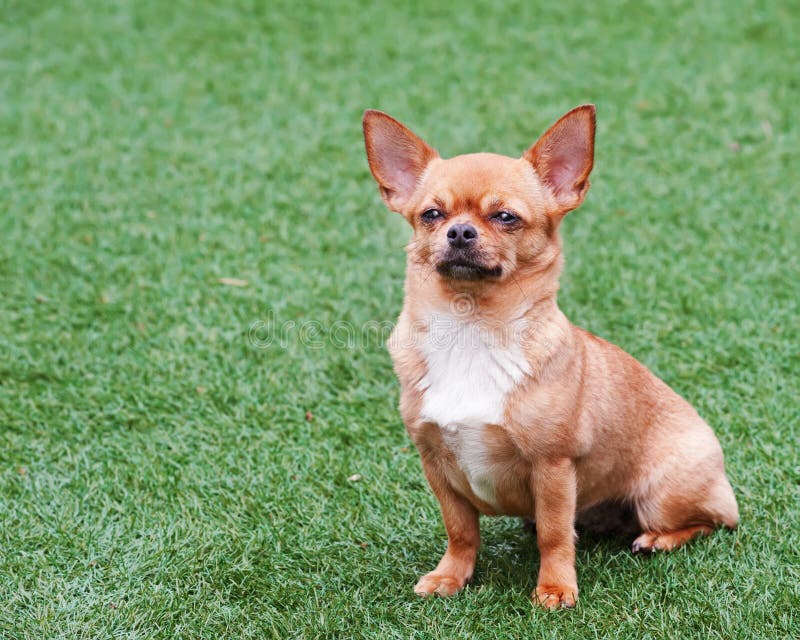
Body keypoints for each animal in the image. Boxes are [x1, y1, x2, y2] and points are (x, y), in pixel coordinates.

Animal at [362, 106, 736, 608]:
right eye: (431, 215)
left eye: (505, 217)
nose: (459, 231)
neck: (471, 327)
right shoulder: (435, 463)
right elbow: (460, 530)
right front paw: (451, 575)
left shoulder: (553, 467)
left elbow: (555, 535)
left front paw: (556, 587)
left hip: (662, 493)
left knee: (712, 522)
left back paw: (658, 539)